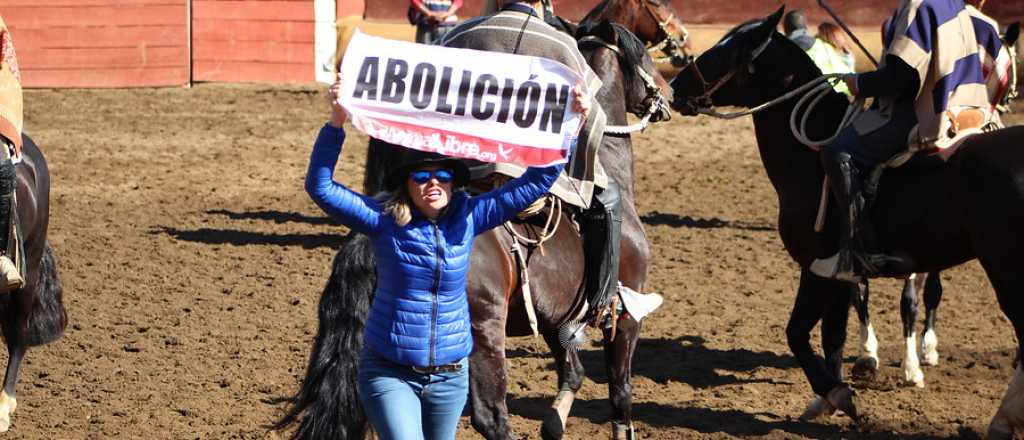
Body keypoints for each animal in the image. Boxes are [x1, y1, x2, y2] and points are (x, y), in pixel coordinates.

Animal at [667, 6, 1024, 435]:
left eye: (725, 51)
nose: (673, 84)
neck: (807, 158)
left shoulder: (816, 267)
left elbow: (798, 333)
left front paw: (836, 393)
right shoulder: (839, 273)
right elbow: (832, 334)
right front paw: (829, 395)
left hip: (1006, 270)